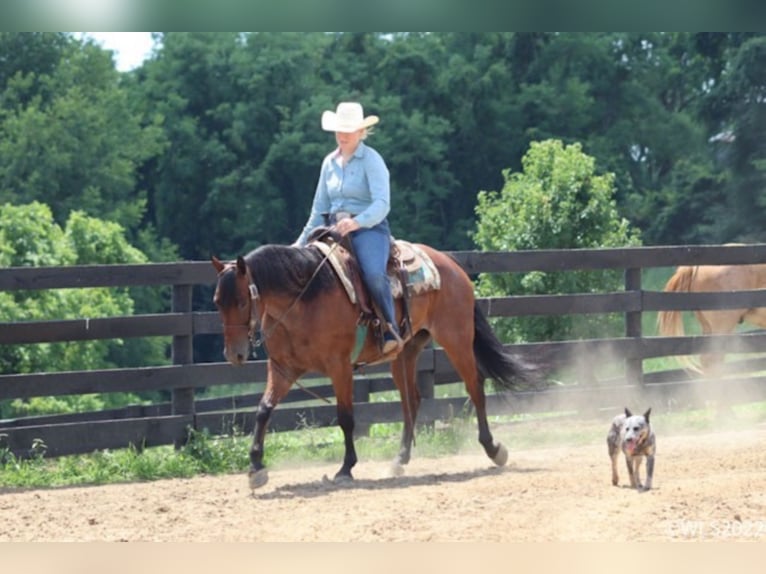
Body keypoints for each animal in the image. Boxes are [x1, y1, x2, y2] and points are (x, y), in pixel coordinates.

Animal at [213, 236, 544, 492]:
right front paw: (256, 467)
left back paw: (493, 449)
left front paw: (345, 469)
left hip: (457, 339)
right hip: (406, 352)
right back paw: (400, 459)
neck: (303, 299)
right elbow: (263, 410)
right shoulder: (283, 369)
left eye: (241, 301)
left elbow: (345, 417)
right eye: (217, 302)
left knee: (475, 386)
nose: (234, 355)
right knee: (412, 400)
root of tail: (451, 265)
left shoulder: (339, 367)